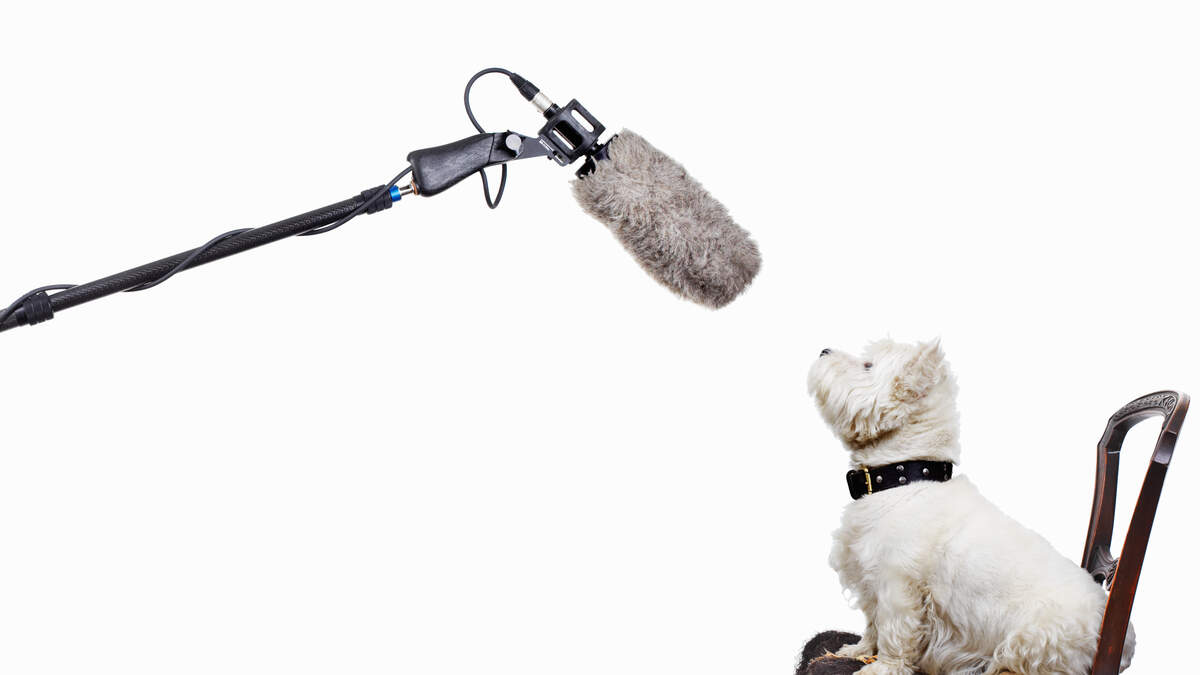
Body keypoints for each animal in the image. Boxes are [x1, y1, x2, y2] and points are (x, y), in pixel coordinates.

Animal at [807, 339, 1134, 675]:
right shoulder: (869, 577)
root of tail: (1120, 639)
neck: (902, 479)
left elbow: (895, 631)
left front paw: (882, 667)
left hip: (1035, 639)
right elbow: (872, 622)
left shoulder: (898, 583)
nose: (823, 351)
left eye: (867, 365)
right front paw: (857, 650)